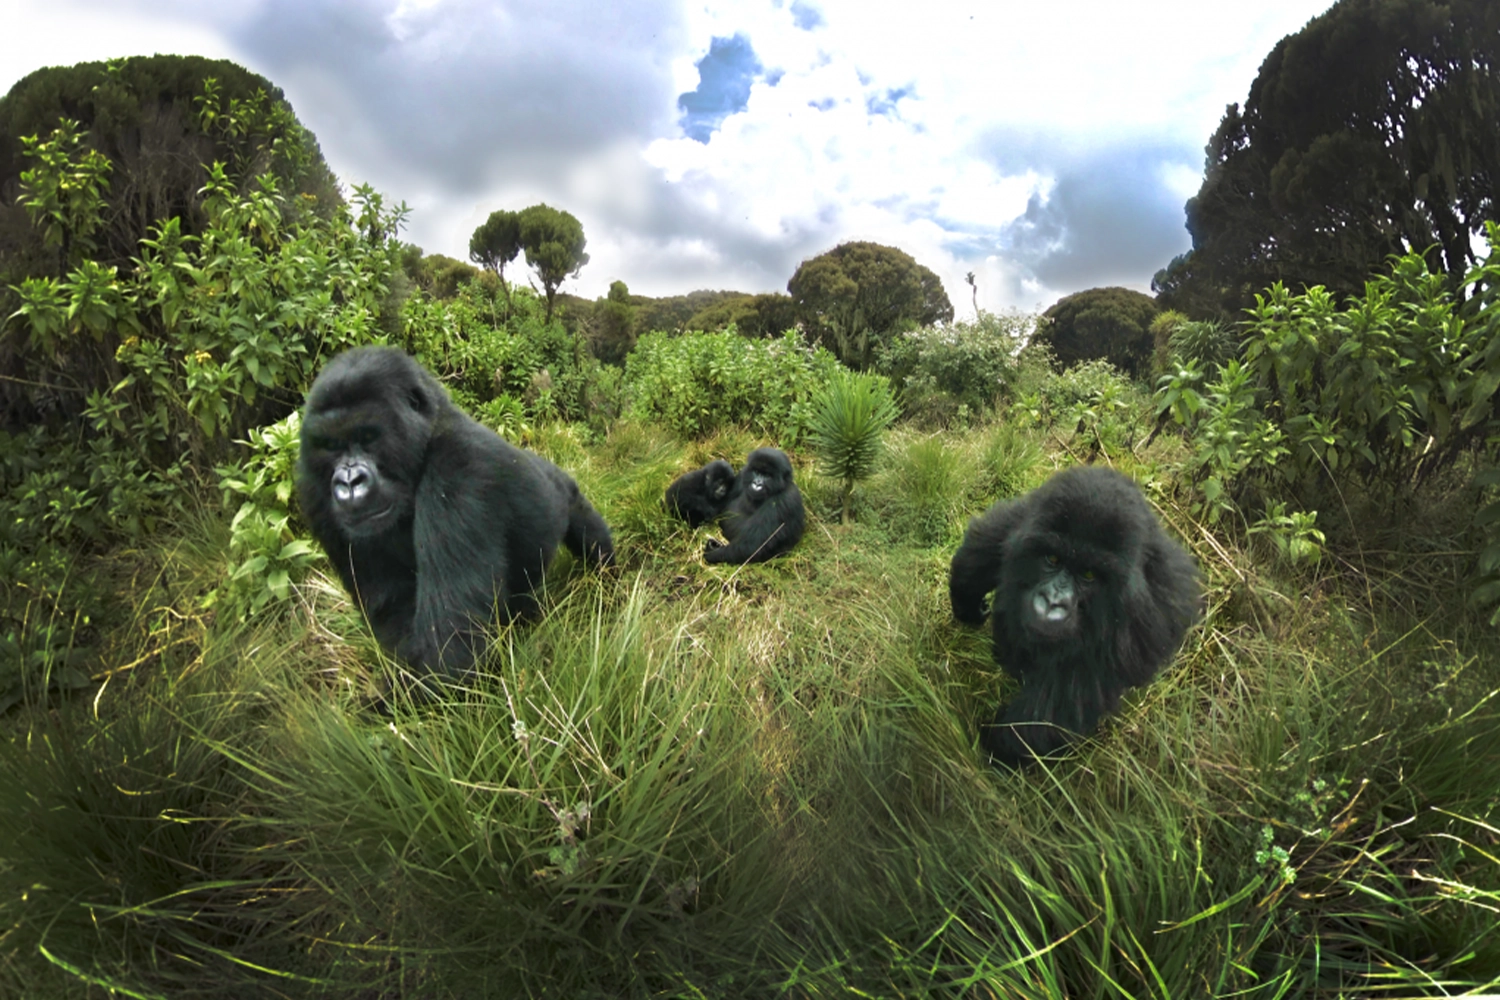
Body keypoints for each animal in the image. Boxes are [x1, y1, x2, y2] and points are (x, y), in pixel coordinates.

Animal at [298, 346, 615, 680]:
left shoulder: (458, 465)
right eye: (331, 445)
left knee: (588, 533)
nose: (349, 482)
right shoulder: (313, 493)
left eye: (368, 437)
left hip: (563, 489)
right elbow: (397, 615)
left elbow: (451, 646)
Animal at [948, 464, 1206, 773]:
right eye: (1052, 559)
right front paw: (967, 603)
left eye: (1089, 575)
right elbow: (984, 545)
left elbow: (1062, 703)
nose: (1052, 603)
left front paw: (998, 743)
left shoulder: (1136, 623)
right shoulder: (1024, 520)